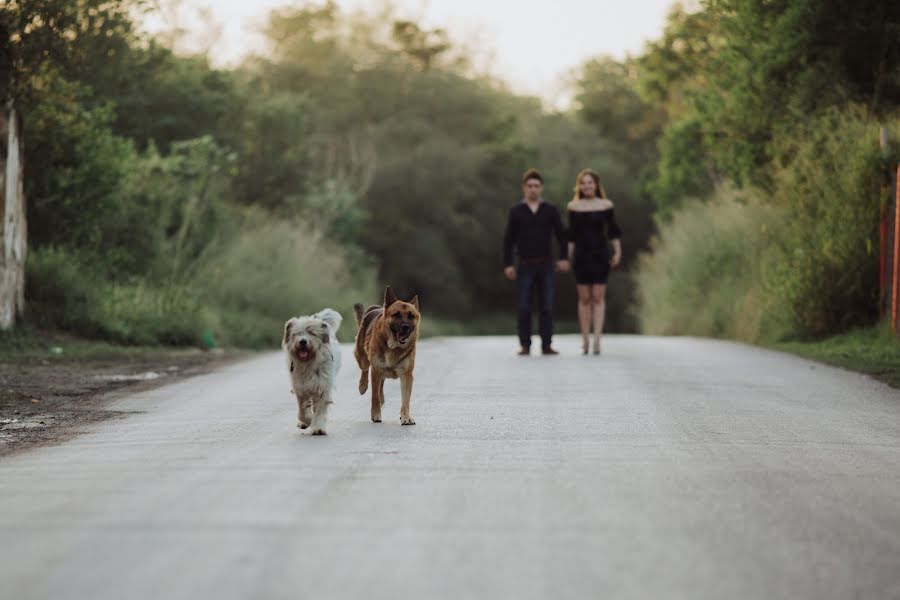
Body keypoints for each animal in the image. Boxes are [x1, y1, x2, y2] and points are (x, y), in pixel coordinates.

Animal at [354, 288, 420, 424]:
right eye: (396, 314)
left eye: (411, 316)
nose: (405, 327)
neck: (394, 347)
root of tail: (377, 308)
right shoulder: (376, 371)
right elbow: (374, 397)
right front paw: (376, 414)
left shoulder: (407, 376)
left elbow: (405, 400)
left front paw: (406, 417)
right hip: (362, 358)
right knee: (365, 368)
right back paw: (363, 385)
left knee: (381, 384)